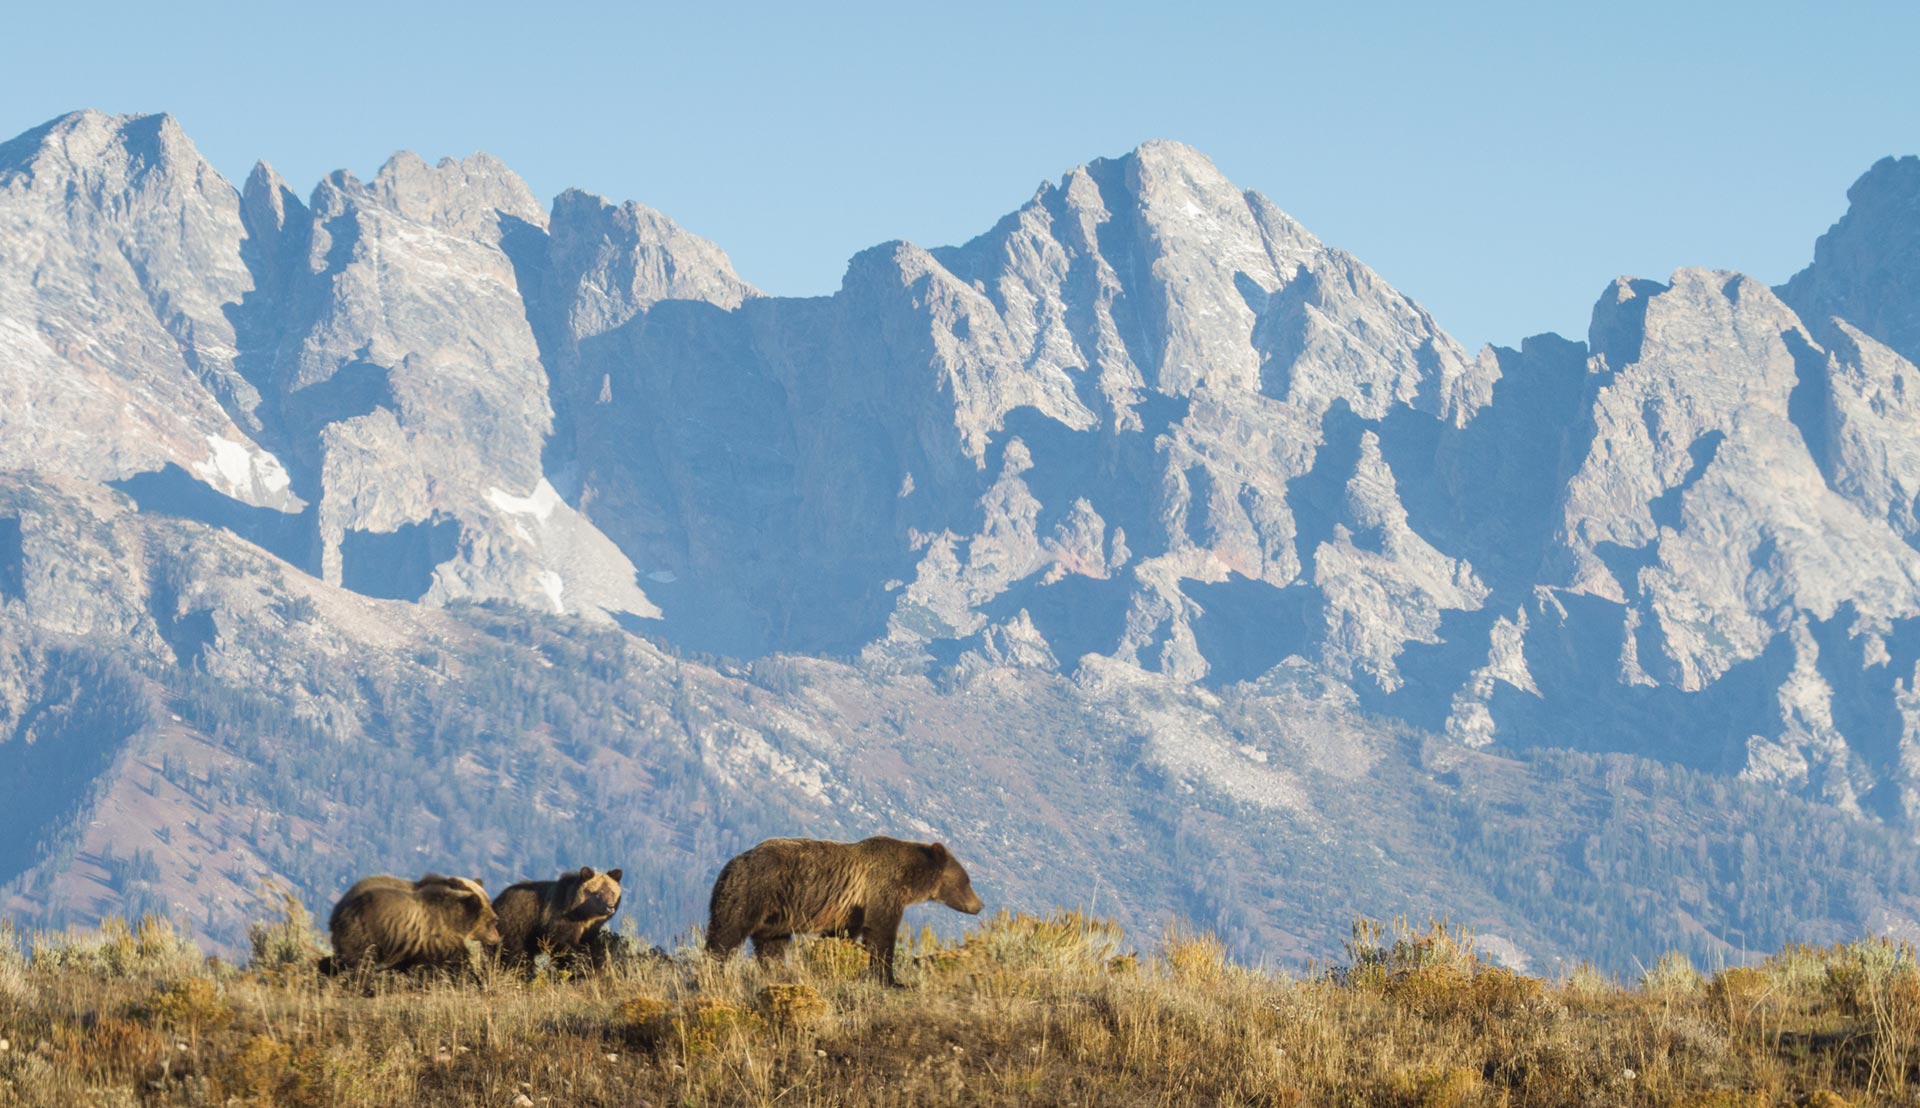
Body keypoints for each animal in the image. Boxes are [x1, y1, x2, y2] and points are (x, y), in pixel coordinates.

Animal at [491, 864, 625, 967]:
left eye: (612, 892)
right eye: (597, 893)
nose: (610, 907)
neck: (582, 915)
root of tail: (496, 900)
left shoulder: (590, 930)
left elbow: (588, 944)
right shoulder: (558, 919)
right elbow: (562, 942)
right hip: (516, 924)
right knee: (513, 952)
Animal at [706, 833, 983, 979]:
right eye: (967, 880)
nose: (979, 905)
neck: (908, 878)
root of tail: (729, 865)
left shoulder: (850, 910)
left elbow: (839, 936)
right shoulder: (881, 891)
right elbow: (881, 933)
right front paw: (889, 978)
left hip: (777, 915)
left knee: (771, 946)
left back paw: (777, 973)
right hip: (753, 892)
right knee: (726, 932)